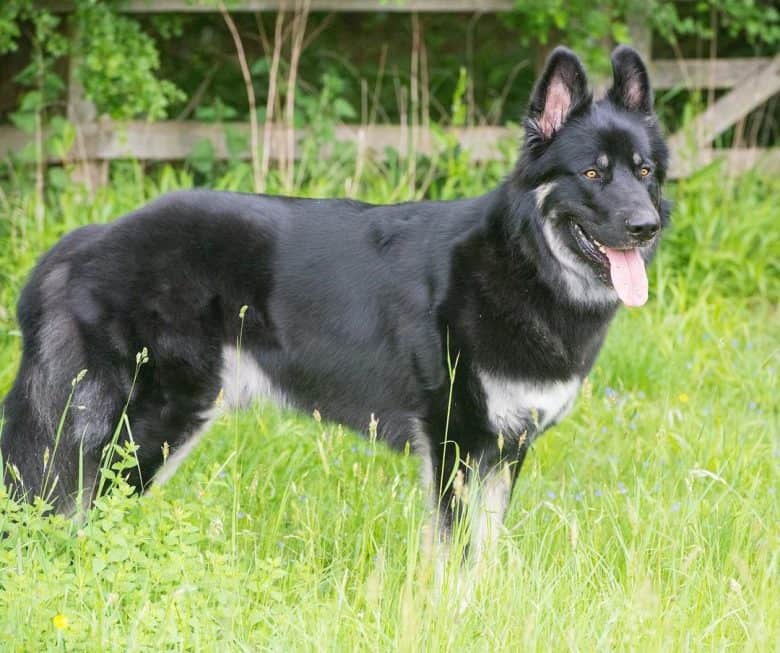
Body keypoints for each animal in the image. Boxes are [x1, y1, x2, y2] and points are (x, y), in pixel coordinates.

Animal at [1, 45, 672, 556]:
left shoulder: (505, 451)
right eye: (592, 174)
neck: (525, 262)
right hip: (148, 423)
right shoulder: (458, 444)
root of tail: (89, 238)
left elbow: (484, 552)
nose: (645, 227)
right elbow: (453, 553)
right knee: (78, 508)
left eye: (643, 172)